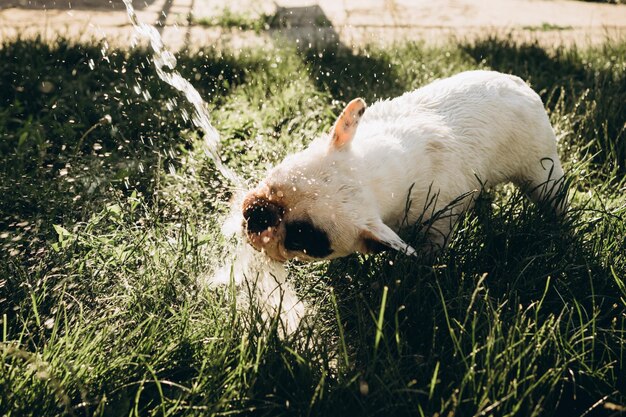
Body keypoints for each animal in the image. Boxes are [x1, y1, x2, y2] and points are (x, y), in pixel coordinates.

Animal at [239, 70, 564, 262]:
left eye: (301, 237)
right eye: (275, 180)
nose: (258, 214)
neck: (375, 174)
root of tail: (522, 85)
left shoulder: (439, 219)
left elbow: (430, 250)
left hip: (541, 167)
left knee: (552, 196)